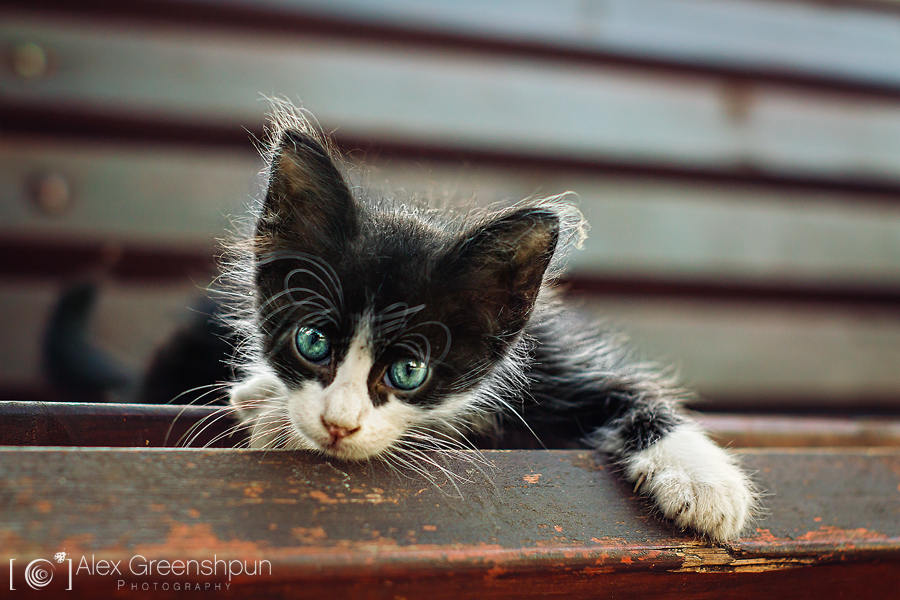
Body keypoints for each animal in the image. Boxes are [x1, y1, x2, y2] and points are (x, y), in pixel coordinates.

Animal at [223, 105, 752, 540]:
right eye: (312, 342)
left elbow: (627, 391)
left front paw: (707, 483)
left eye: (408, 372)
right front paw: (272, 410)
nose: (337, 425)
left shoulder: (555, 356)